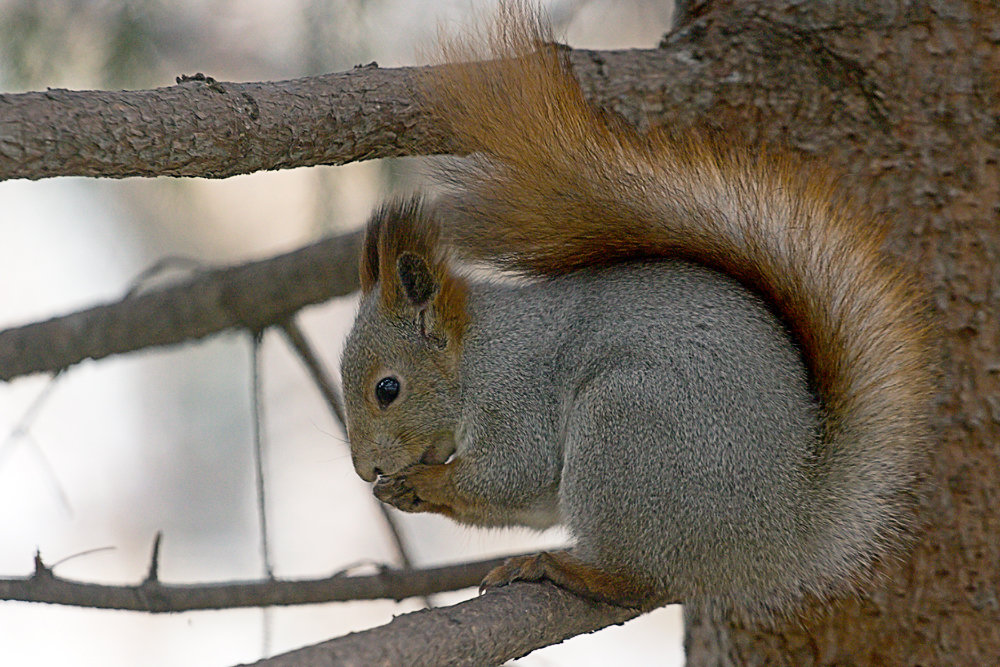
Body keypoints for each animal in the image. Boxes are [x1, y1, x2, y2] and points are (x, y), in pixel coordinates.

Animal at [340, 1, 932, 616]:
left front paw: (426, 483)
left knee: (640, 578)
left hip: (625, 431)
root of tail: (781, 530)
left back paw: (564, 568)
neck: (474, 352)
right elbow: (527, 500)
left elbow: (514, 472)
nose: (365, 469)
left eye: (388, 389)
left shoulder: (515, 394)